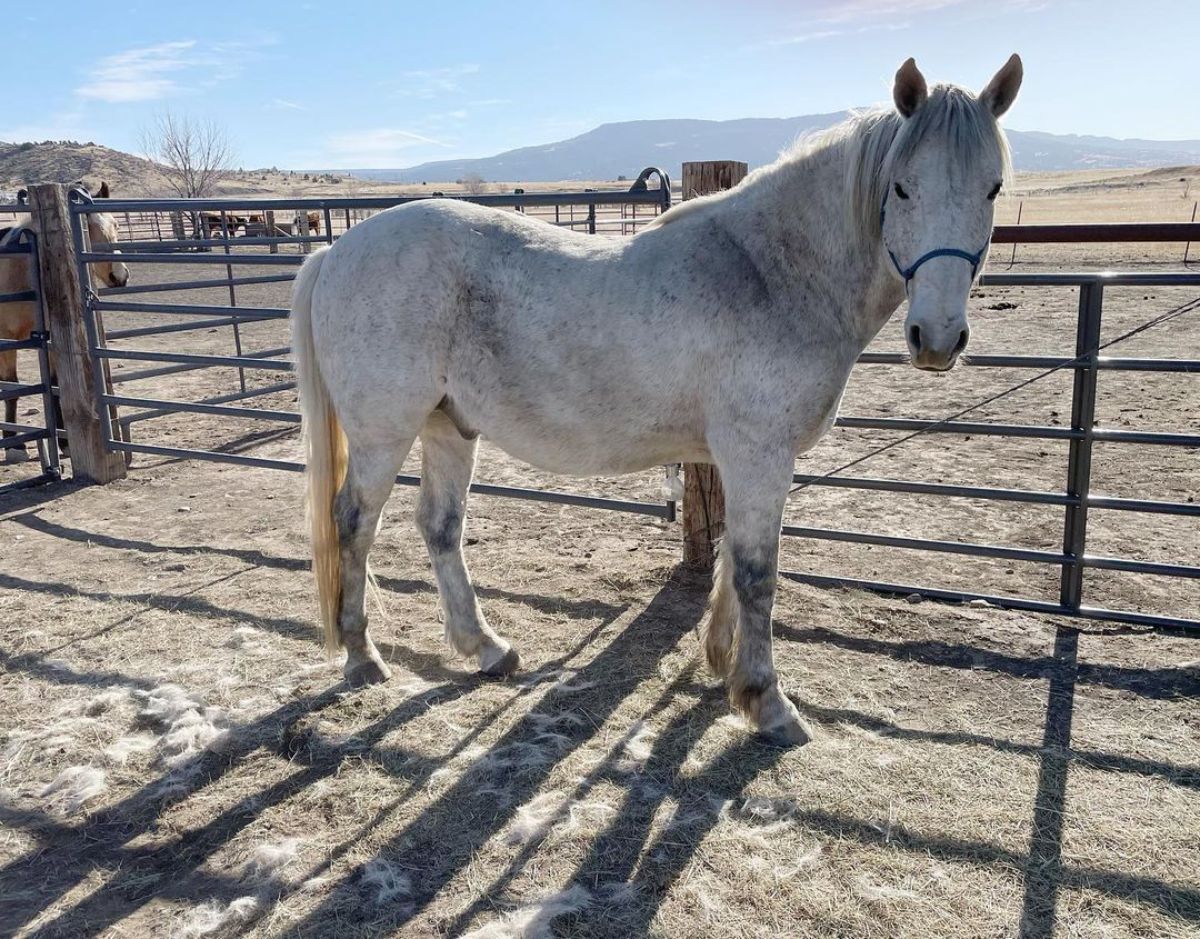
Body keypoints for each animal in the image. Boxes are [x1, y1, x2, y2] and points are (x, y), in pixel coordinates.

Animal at [290, 57, 1022, 749]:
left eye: (992, 188)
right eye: (901, 187)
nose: (937, 338)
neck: (770, 272)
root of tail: (337, 251)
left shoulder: (744, 459)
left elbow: (731, 557)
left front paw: (723, 664)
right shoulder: (759, 455)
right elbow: (758, 571)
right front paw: (768, 701)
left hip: (449, 426)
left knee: (440, 527)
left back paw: (487, 649)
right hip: (385, 433)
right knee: (353, 523)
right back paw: (362, 655)